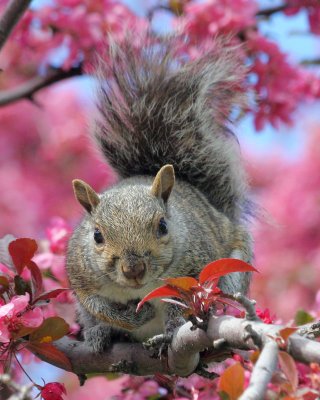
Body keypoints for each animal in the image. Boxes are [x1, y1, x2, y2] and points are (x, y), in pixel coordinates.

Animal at [67, 36, 252, 354]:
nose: (133, 269)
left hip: (234, 266)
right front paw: (131, 318)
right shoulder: (80, 275)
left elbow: (184, 304)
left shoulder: (196, 268)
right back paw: (101, 333)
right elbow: (98, 305)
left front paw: (172, 327)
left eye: (163, 226)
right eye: (97, 236)